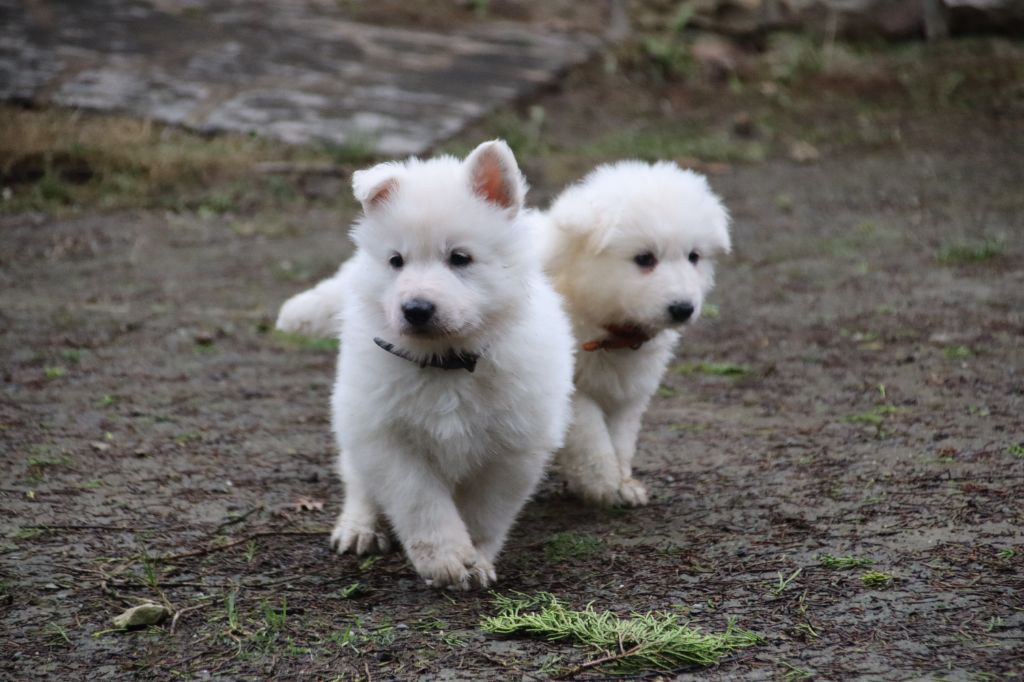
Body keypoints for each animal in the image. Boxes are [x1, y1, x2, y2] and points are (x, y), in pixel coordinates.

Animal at [319, 140, 577, 585]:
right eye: (396, 261)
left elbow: (485, 510)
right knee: (357, 480)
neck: (447, 362)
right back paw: (358, 527)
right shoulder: (387, 437)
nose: (416, 310)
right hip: (354, 421)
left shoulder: (514, 448)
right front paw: (445, 558)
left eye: (460, 258)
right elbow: (419, 502)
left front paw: (475, 560)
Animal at [540, 160, 733, 503]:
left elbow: (621, 436)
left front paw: (623, 484)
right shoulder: (569, 389)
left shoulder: (629, 391)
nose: (683, 308)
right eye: (644, 258)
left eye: (694, 256)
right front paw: (602, 483)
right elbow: (589, 431)